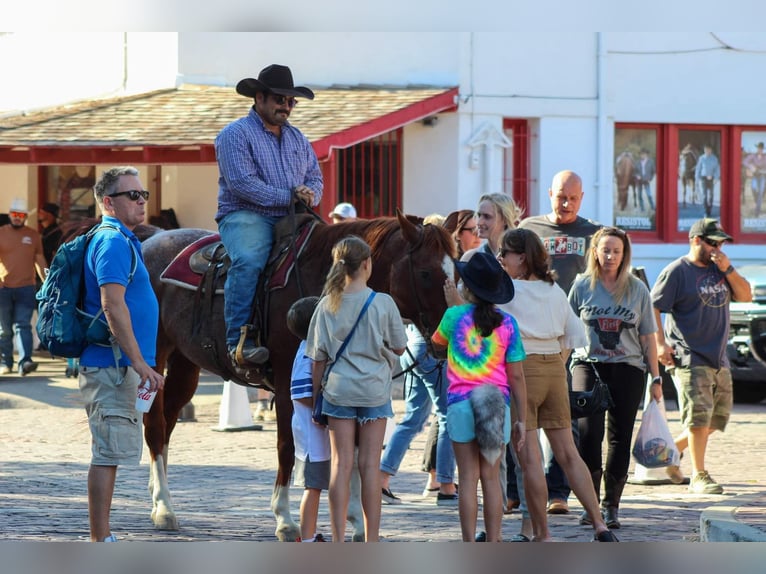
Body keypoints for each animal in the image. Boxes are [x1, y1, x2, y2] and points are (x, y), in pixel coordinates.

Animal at [140, 214, 456, 544]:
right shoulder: (285, 383)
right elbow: (287, 446)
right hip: (155, 357)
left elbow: (353, 453)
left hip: (185, 364)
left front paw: (357, 522)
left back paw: (157, 498)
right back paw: (164, 508)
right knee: (155, 427)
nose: (445, 339)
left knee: (167, 425)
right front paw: (285, 519)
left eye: (455, 269)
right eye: (424, 272)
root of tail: (151, 240)